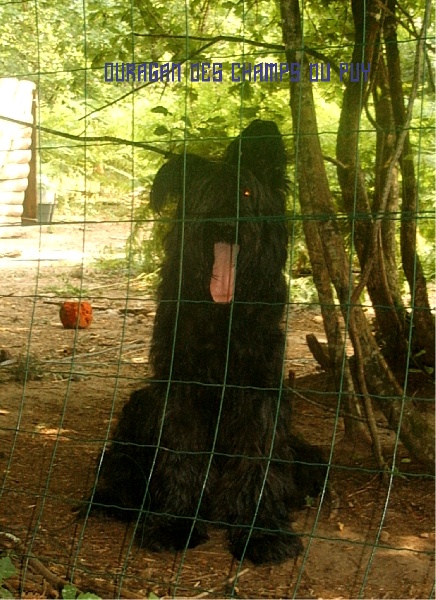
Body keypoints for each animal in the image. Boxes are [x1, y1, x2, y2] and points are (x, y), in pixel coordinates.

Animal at [90, 120, 326, 564]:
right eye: (204, 195)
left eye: (246, 193)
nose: (226, 222)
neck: (222, 316)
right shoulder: (180, 388)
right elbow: (182, 452)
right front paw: (174, 522)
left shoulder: (259, 393)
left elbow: (257, 459)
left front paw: (261, 530)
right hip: (141, 404)